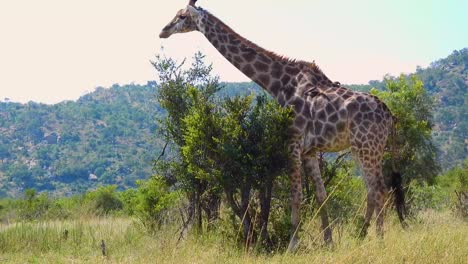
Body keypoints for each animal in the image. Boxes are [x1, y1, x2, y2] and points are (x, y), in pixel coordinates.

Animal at [158, 0, 406, 250]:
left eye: (181, 16)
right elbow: (321, 195)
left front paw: (292, 245)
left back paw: (378, 240)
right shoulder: (310, 151)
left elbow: (296, 195)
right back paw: (361, 236)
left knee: (379, 189)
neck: (279, 84)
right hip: (366, 148)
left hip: (366, 146)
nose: (163, 31)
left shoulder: (292, 142)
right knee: (372, 190)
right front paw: (328, 242)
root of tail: (389, 115)